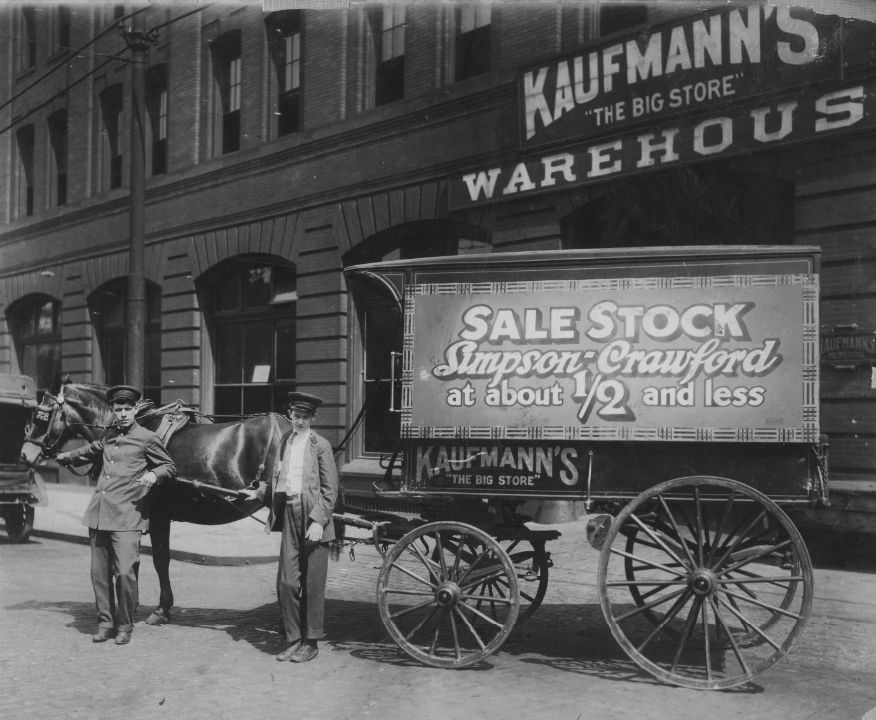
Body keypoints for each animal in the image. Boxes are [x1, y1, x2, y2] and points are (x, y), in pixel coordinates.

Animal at [17, 382, 296, 624]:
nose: (24, 455)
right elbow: (135, 557)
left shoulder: (158, 515)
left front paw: (160, 609)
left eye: (41, 417)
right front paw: (134, 603)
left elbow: (159, 559)